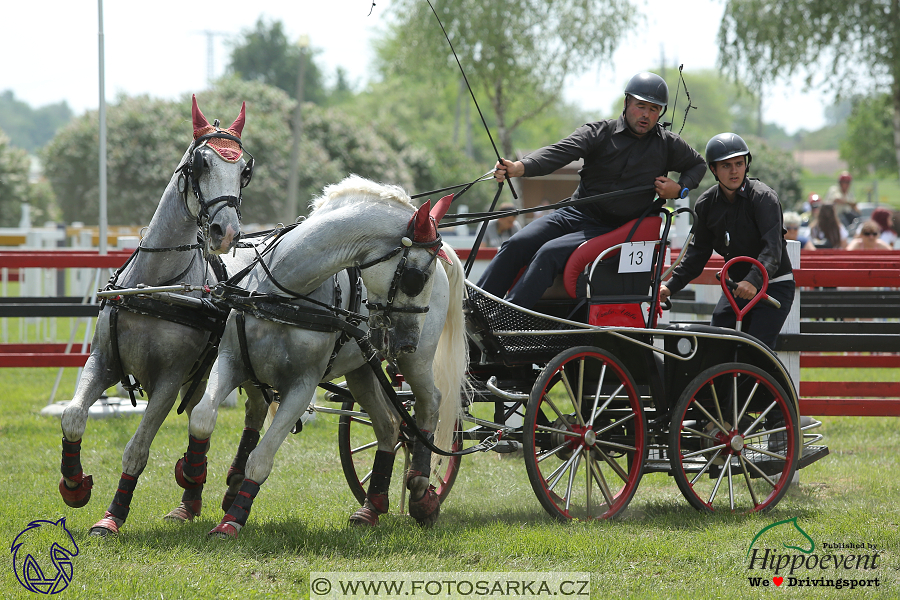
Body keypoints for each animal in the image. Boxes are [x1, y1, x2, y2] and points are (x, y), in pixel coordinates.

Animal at [58, 96, 264, 536]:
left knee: (253, 414)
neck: (154, 286)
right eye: (200, 164)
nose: (225, 232)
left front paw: (112, 516)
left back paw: (226, 483)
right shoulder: (103, 361)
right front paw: (74, 484)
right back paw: (189, 499)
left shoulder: (169, 380)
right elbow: (73, 416)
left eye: (244, 171)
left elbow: (137, 449)